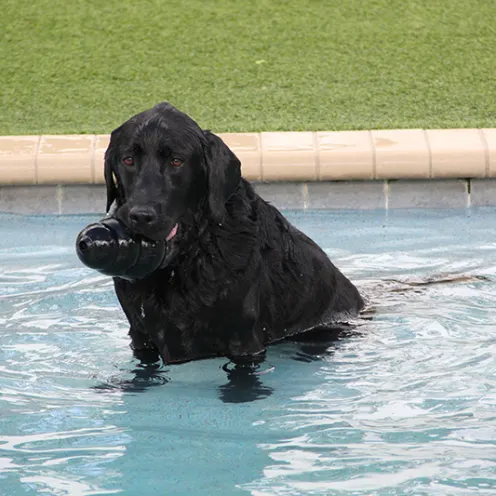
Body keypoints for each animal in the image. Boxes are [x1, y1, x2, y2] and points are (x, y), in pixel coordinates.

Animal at [103, 102, 364, 364]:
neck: (190, 256)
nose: (141, 215)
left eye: (176, 161)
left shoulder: (244, 340)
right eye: (128, 160)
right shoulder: (140, 336)